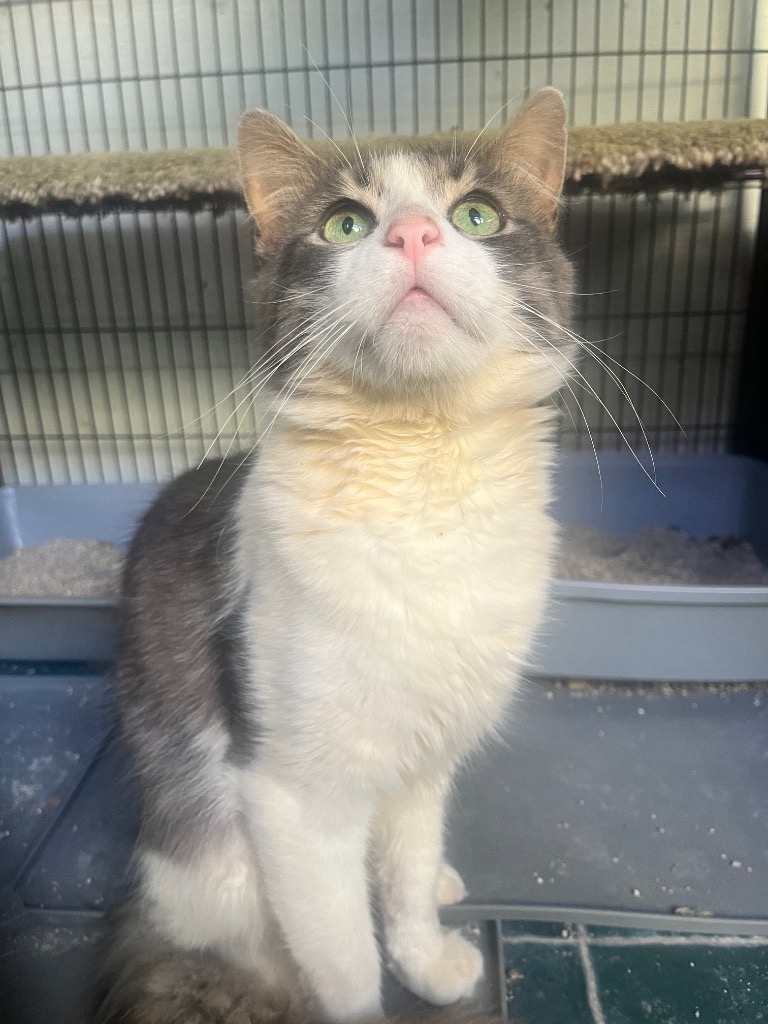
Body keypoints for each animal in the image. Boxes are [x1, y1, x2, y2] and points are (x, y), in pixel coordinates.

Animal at [96, 87, 576, 1024]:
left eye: (478, 214)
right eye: (345, 224)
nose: (415, 233)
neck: (422, 474)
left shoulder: (427, 759)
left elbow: (407, 878)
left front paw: (426, 956)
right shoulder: (293, 800)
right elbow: (348, 964)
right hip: (205, 849)